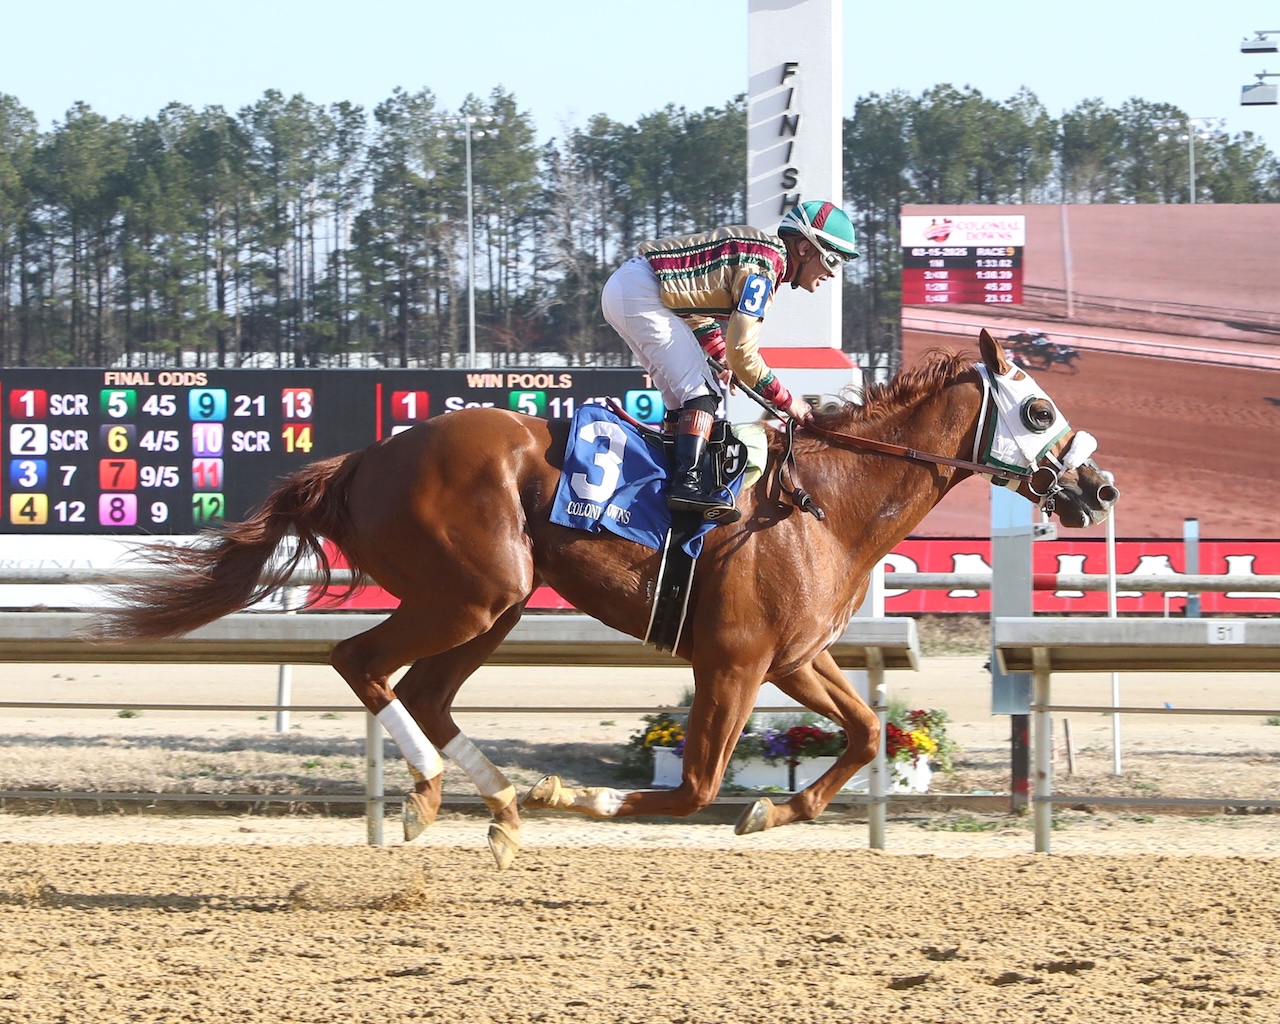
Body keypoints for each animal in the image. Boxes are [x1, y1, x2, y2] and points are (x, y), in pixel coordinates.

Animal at [97, 332, 1121, 870]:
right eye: (1036, 411)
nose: (1100, 487)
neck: (820, 502)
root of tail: (363, 458)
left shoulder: (795, 657)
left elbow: (869, 733)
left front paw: (775, 812)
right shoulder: (735, 661)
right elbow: (696, 786)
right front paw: (576, 793)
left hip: (496, 604)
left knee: (422, 690)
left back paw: (499, 805)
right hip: (474, 594)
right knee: (360, 661)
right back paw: (435, 794)